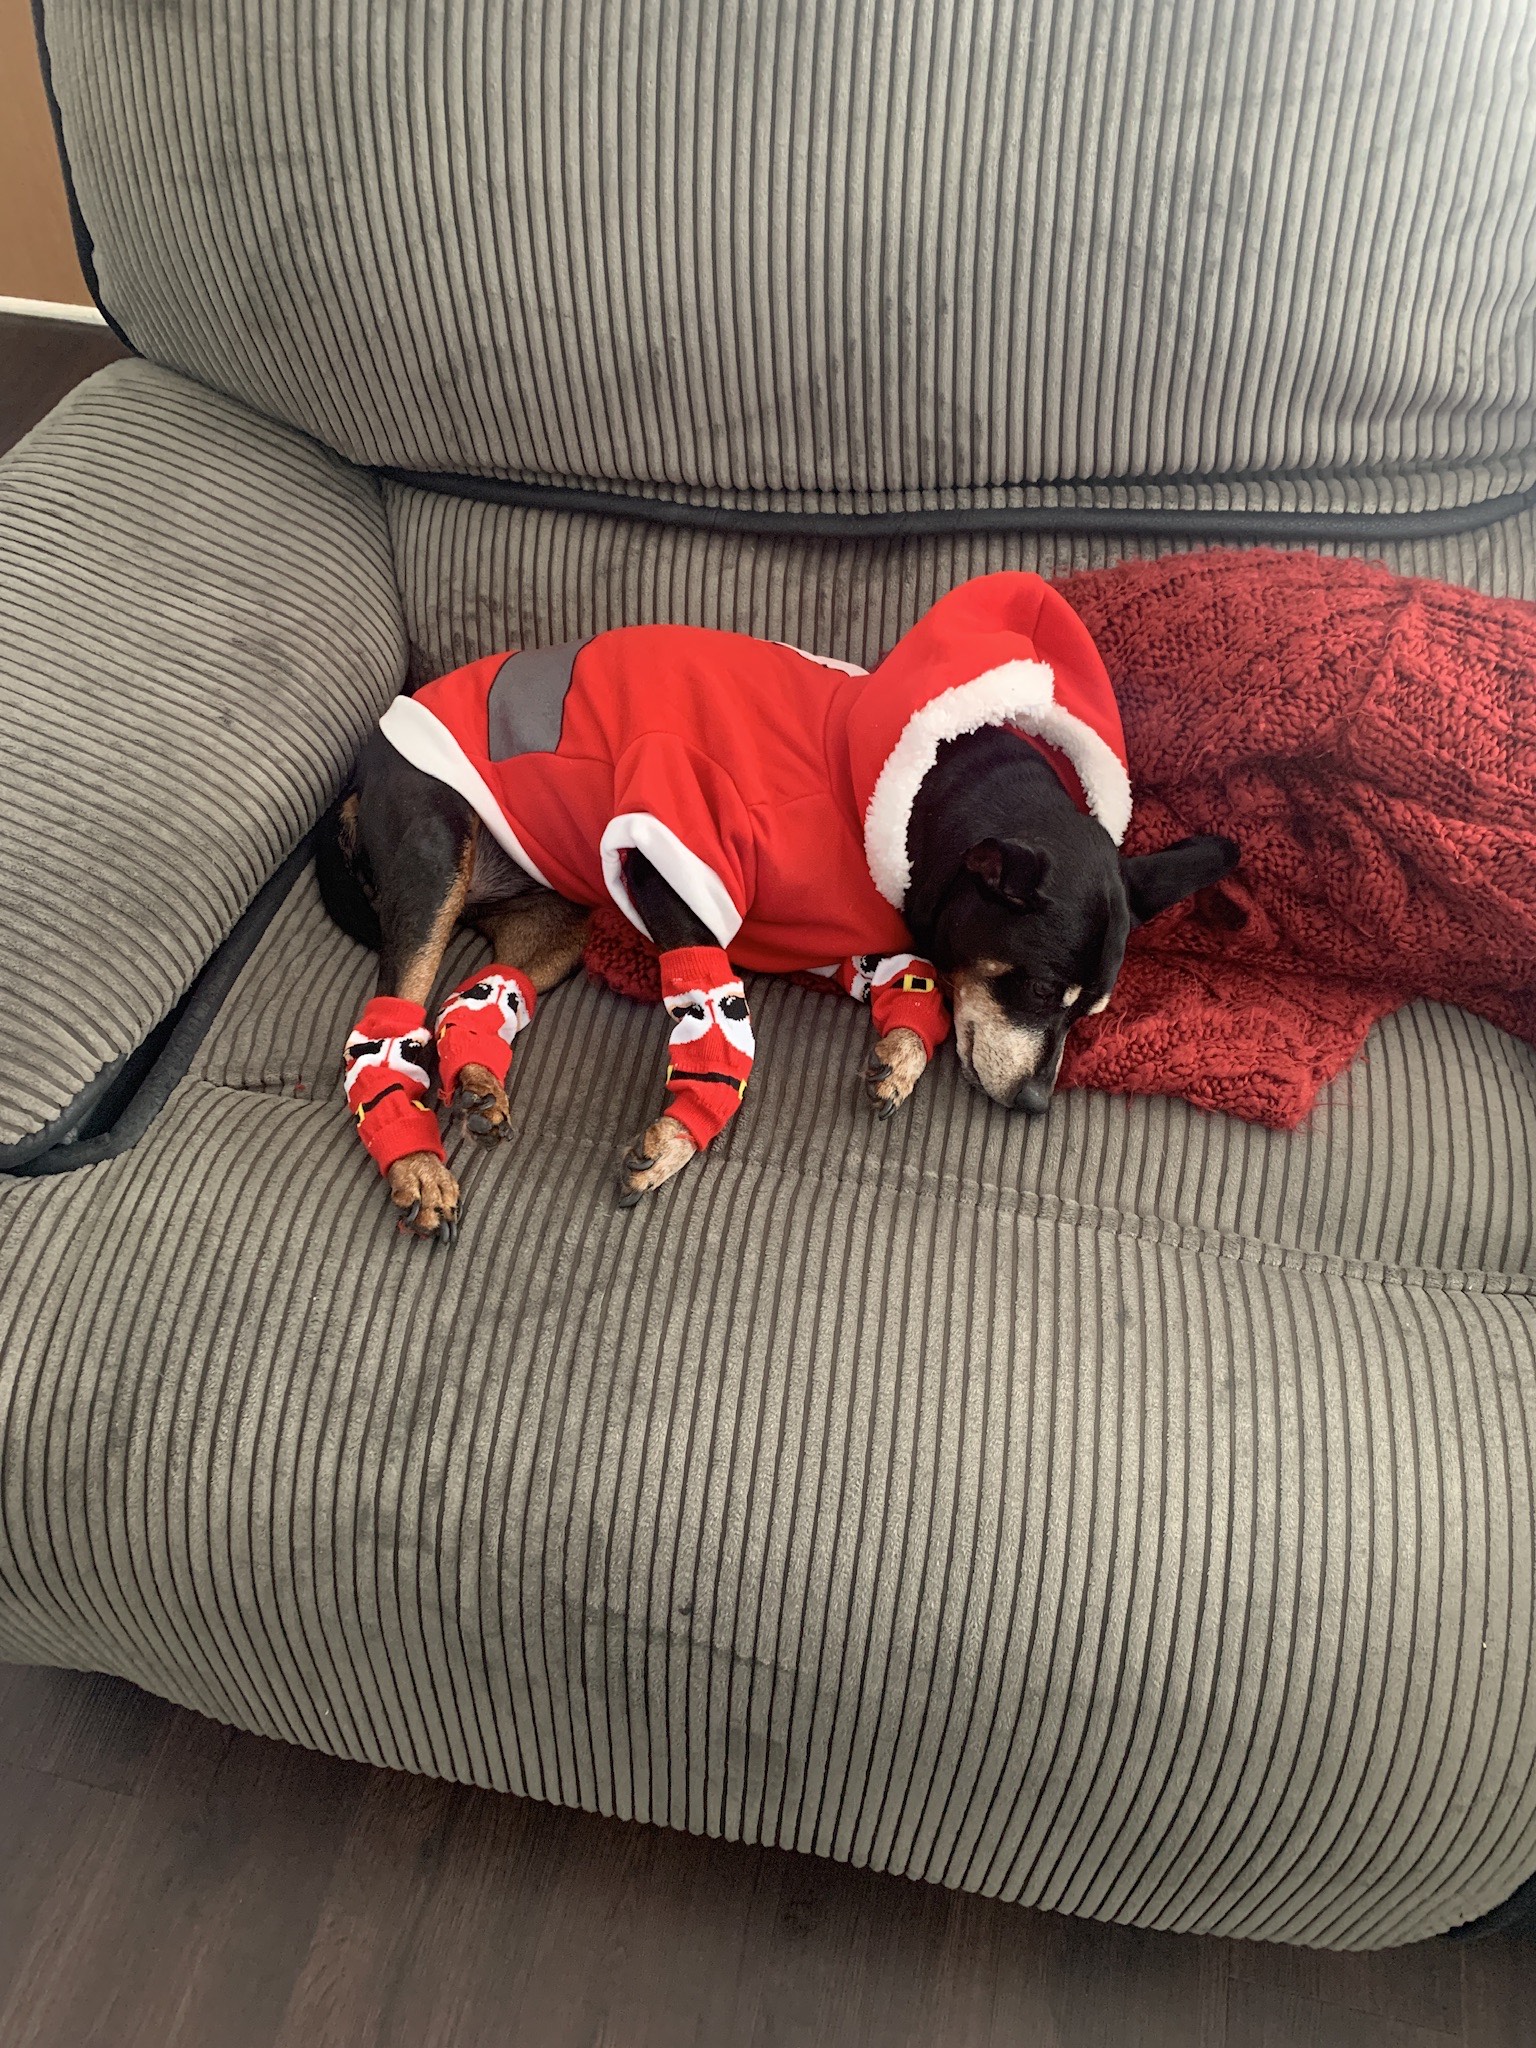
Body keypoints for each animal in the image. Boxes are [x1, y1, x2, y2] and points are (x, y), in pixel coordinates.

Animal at [321, 569, 1236, 1236]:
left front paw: (899, 1060)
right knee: (387, 1019)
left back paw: (477, 1079)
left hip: (556, 920)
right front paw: (680, 1137)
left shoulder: (841, 938)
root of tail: (365, 770)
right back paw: (417, 1165)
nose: (1039, 1106)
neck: (917, 799)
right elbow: (721, 1025)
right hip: (436, 851)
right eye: (1044, 990)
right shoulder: (672, 865)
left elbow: (924, 993)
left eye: (1093, 1014)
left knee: (467, 1001)